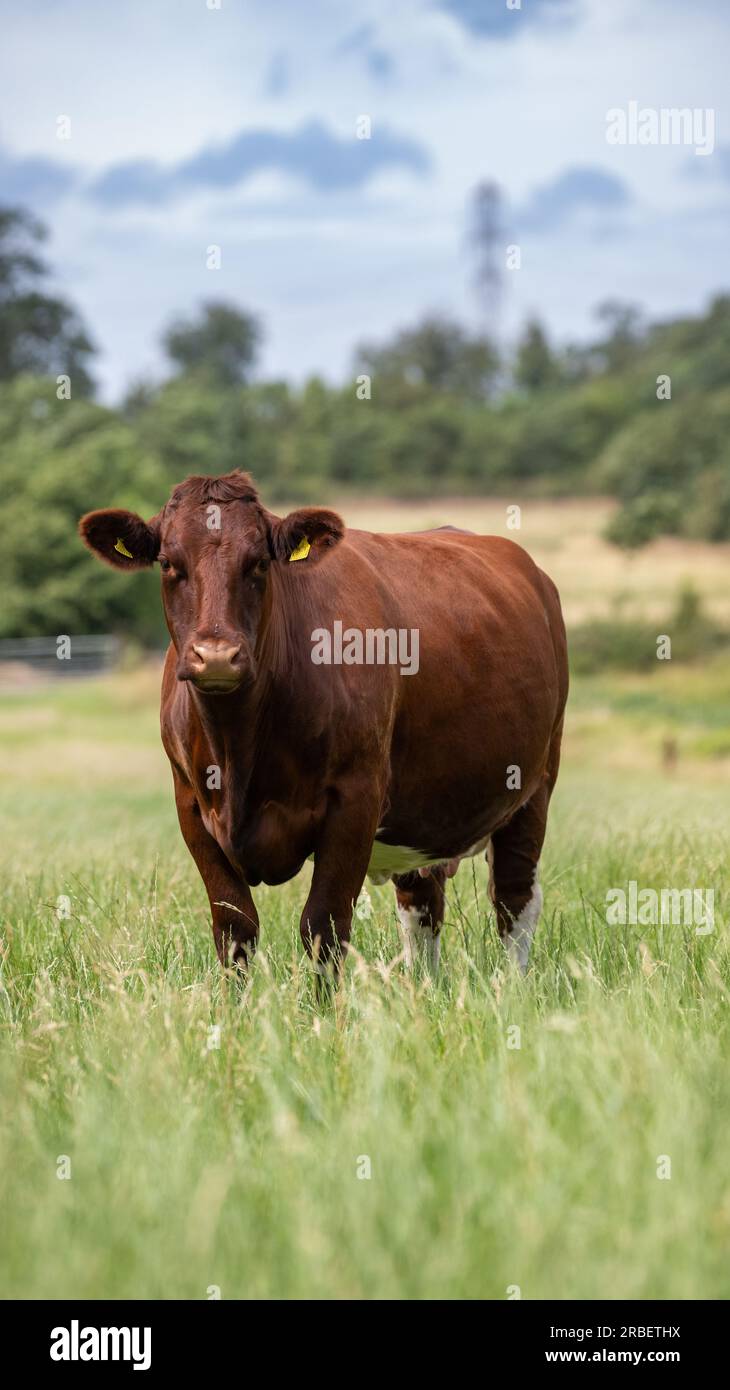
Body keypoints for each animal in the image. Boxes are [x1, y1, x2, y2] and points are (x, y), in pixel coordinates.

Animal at [80, 472, 570, 973]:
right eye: (167, 563)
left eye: (260, 563)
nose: (216, 656)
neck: (238, 745)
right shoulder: (191, 805)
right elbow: (235, 930)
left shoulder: (354, 799)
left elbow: (324, 925)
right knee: (423, 903)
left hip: (534, 785)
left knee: (514, 900)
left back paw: (509, 985)